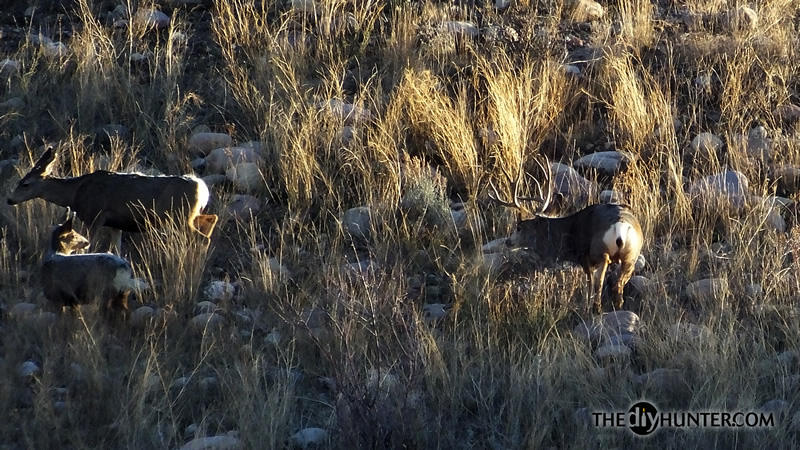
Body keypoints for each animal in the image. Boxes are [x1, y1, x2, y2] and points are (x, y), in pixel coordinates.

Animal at [7, 148, 219, 251]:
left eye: (25, 184)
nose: (9, 200)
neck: (76, 193)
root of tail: (202, 188)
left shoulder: (95, 216)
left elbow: (90, 245)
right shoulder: (116, 225)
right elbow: (116, 248)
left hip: (178, 217)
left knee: (203, 237)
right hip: (189, 215)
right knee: (211, 219)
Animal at [488, 156, 644, 314]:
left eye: (519, 227)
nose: (508, 241)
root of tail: (621, 227)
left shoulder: (585, 258)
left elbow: (590, 283)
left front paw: (586, 304)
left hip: (600, 251)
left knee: (600, 282)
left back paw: (596, 309)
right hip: (631, 255)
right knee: (619, 284)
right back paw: (617, 308)